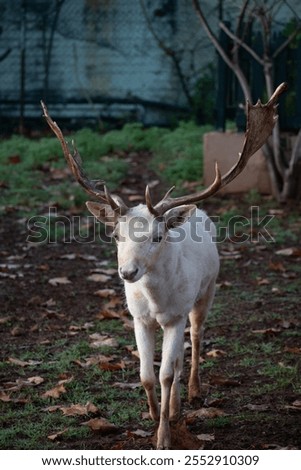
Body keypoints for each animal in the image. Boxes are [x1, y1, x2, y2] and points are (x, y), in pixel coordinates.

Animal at [41, 82, 284, 450]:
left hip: (207, 290)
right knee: (180, 356)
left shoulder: (176, 314)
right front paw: (155, 414)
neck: (157, 303)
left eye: (157, 236)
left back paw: (194, 393)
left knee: (195, 338)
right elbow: (146, 374)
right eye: (116, 234)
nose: (127, 273)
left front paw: (164, 437)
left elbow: (166, 373)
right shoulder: (139, 318)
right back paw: (177, 405)